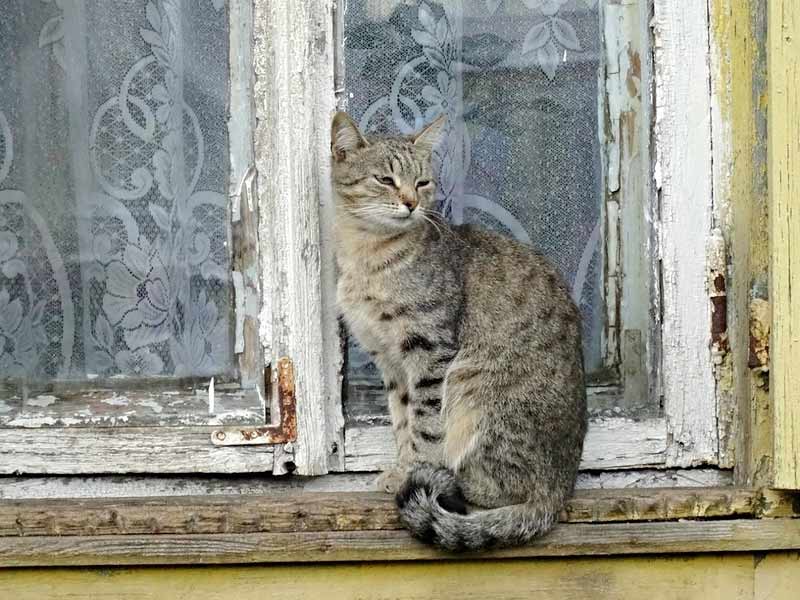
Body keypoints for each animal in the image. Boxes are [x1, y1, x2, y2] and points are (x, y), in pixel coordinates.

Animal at [332, 110, 588, 552]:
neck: (368, 257)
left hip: (472, 385)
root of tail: (560, 489)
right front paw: (402, 468)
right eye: (385, 179)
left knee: (500, 489)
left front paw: (413, 472)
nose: (411, 203)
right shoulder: (391, 363)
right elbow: (401, 421)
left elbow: (423, 426)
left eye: (422, 182)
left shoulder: (429, 350)